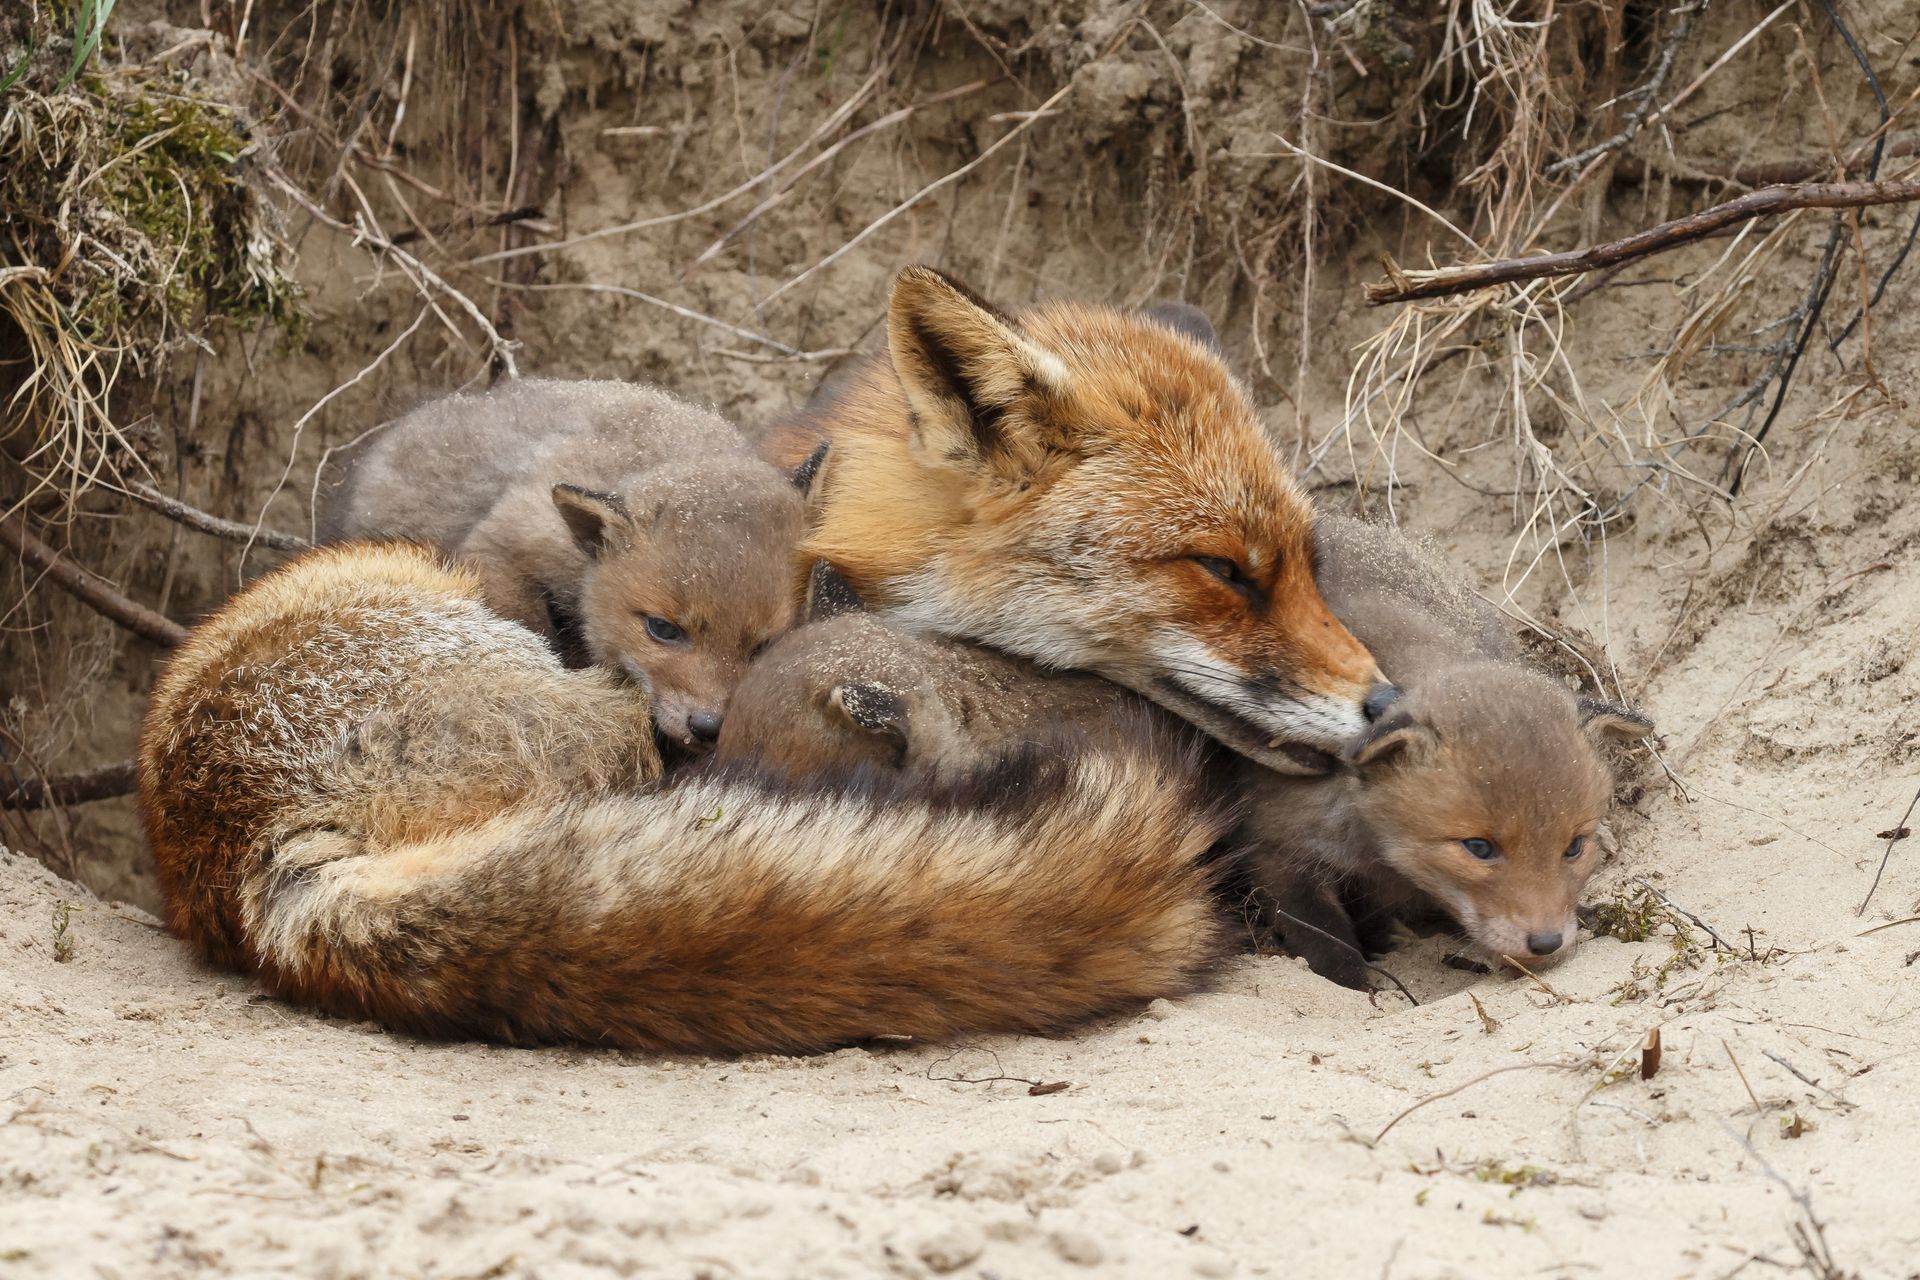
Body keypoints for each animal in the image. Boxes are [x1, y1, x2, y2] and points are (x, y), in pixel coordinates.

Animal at [1235, 514, 1654, 989]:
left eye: (1574, 846)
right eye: (1479, 848)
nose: (1547, 943)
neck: (1369, 839)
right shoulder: (1279, 846)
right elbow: (1321, 937)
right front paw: (1358, 982)